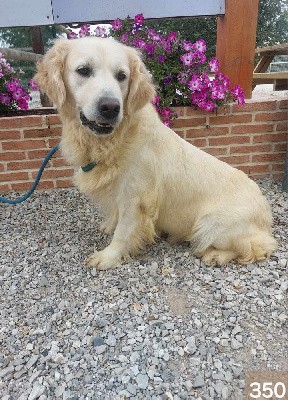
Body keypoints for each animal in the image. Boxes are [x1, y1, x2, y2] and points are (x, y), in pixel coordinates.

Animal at [33, 37, 276, 270]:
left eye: (122, 76)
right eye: (83, 70)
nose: (111, 107)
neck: (114, 139)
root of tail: (266, 213)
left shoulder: (135, 198)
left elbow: (123, 232)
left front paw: (109, 257)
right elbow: (115, 215)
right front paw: (109, 225)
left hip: (209, 224)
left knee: (257, 247)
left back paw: (216, 255)